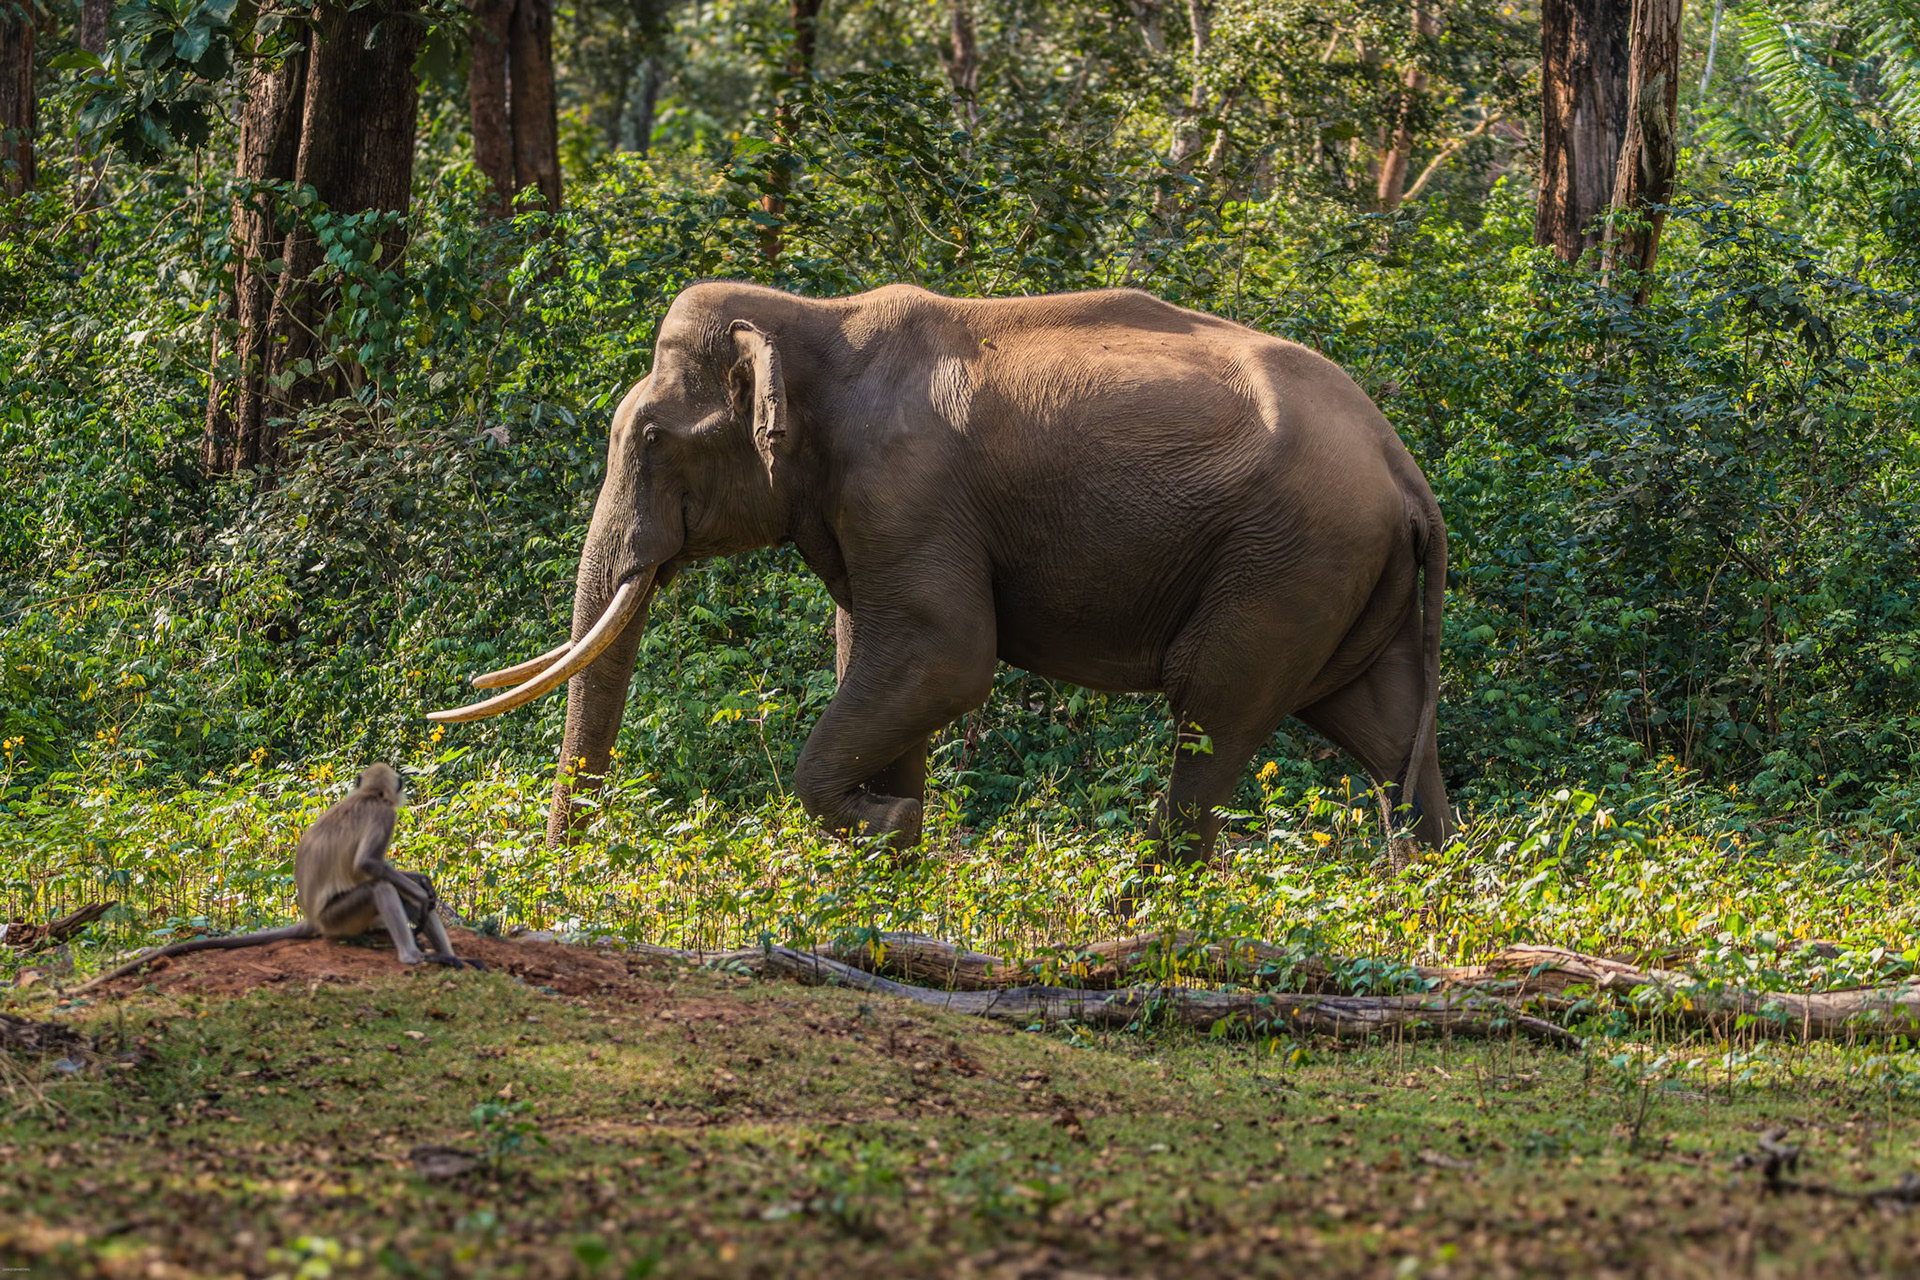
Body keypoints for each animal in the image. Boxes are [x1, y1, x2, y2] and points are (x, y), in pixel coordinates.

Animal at [430, 280, 1452, 869]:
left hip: (1286, 565)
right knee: (1386, 731)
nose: (569, 875)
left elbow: (945, 657)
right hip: (1345, 582)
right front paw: (895, 847)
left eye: (648, 440)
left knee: (1213, 713)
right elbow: (881, 660)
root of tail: (1408, 477)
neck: (818, 316)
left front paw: (889, 827)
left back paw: (1152, 906)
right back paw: (1426, 900)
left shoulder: (906, 488)